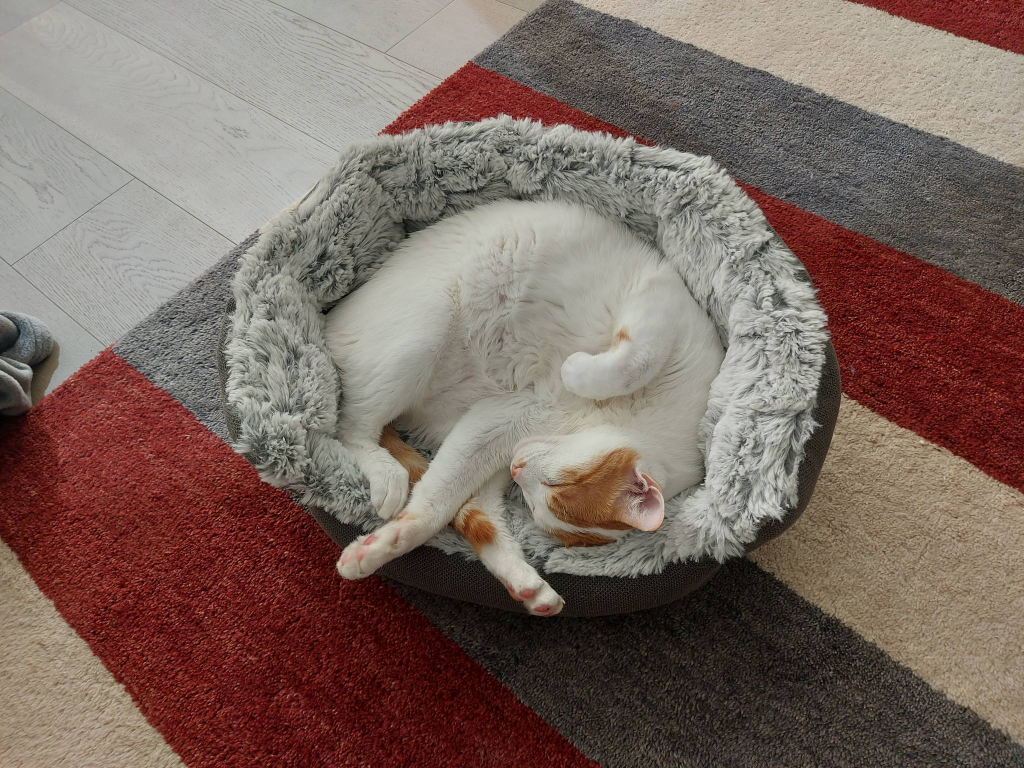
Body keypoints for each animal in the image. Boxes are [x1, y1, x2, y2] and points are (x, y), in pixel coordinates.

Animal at [323, 199, 724, 618]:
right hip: (425, 331)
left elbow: (447, 503)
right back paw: (386, 474)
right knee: (349, 426)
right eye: (560, 482)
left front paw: (391, 543)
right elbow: (635, 362)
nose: (518, 468)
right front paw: (575, 370)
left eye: (536, 503)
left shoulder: (506, 419)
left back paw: (527, 583)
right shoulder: (660, 305)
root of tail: (329, 317)